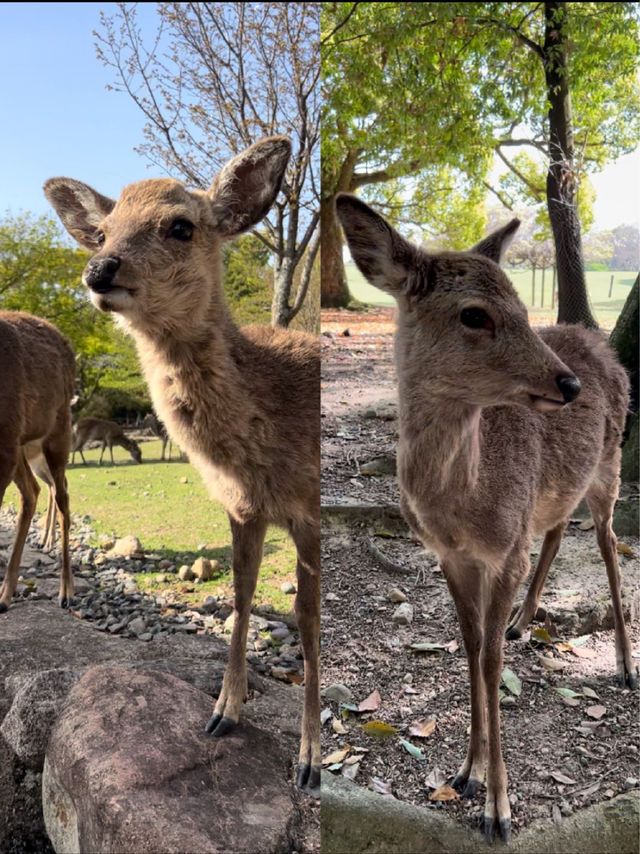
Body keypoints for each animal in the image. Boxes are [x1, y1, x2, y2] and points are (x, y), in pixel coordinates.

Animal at [46, 137, 320, 800]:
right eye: (101, 231)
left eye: (180, 226)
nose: (100, 269)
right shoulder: (242, 508)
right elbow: (242, 596)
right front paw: (224, 711)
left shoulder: (311, 511)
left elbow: (307, 621)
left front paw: (309, 761)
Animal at [336, 194, 636, 844]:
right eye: (474, 315)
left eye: (522, 308)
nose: (567, 383)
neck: (465, 506)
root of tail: (600, 347)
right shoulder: (451, 556)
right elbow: (472, 648)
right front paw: (465, 772)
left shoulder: (503, 551)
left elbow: (493, 662)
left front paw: (498, 808)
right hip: (557, 491)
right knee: (556, 529)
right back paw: (526, 621)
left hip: (611, 465)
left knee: (607, 543)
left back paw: (626, 664)